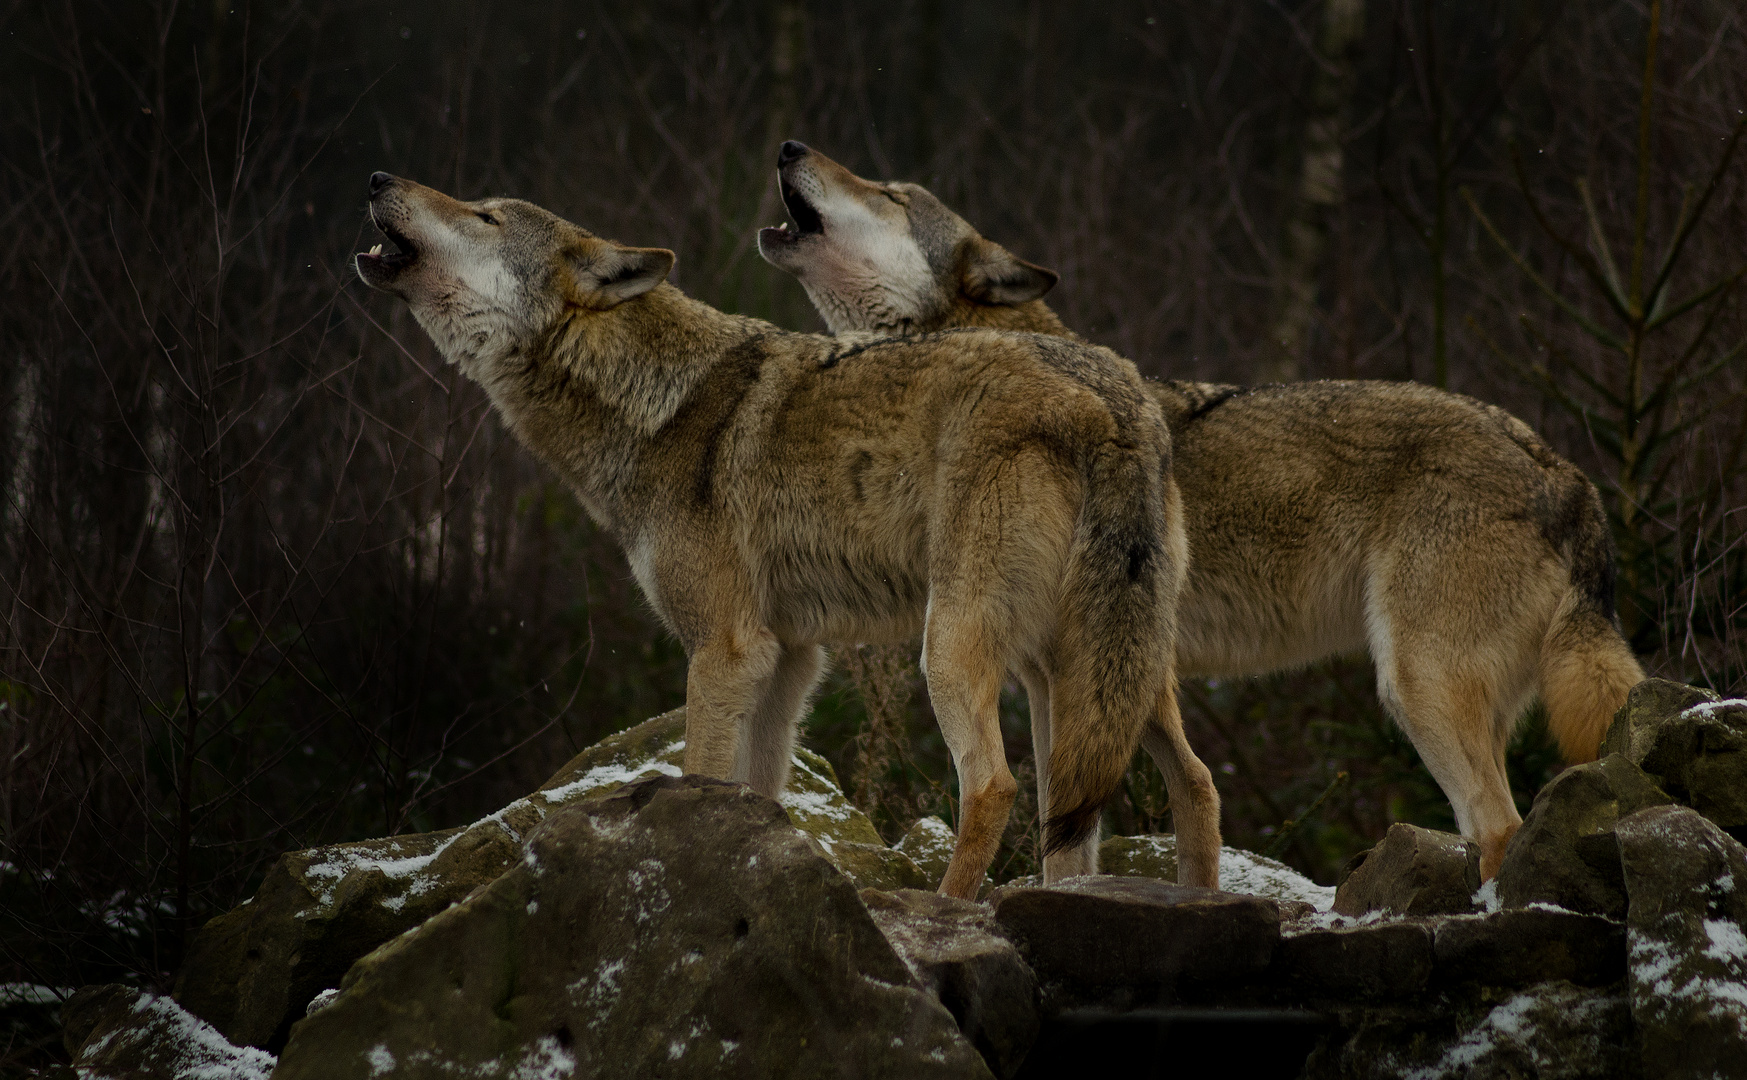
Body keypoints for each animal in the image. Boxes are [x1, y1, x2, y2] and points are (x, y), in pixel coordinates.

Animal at [758, 140, 1642, 873]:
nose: (790, 145)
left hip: (1415, 686)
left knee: (1496, 826)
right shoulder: (1053, 676)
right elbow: (1070, 833)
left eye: (890, 193)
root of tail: (1565, 472)